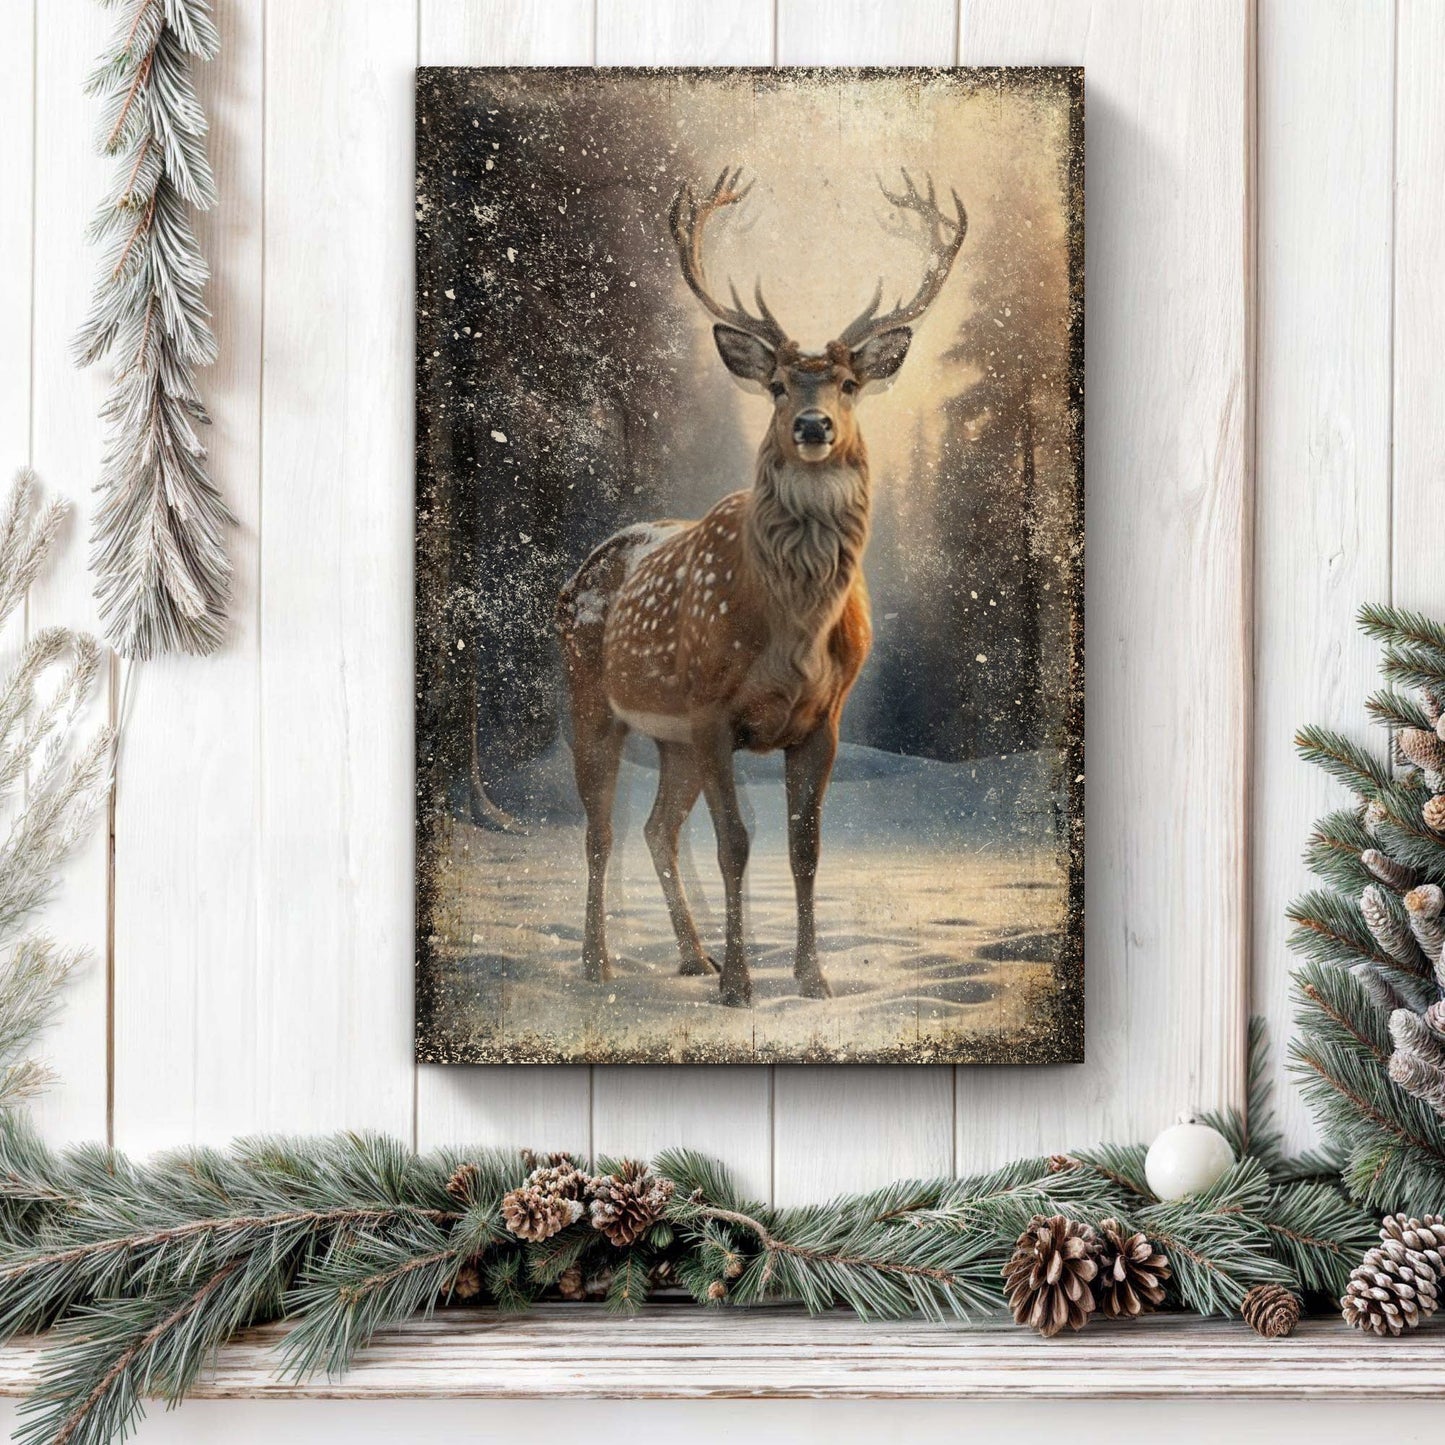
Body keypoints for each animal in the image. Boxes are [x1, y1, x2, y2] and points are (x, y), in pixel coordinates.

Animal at [555, 168, 967, 1008]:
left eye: (848, 383)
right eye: (776, 384)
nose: (812, 426)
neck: (793, 629)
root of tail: (579, 572)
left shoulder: (822, 719)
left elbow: (805, 847)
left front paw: (812, 978)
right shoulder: (715, 711)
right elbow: (736, 844)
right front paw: (743, 985)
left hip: (671, 736)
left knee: (655, 827)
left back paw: (692, 955)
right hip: (592, 697)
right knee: (601, 829)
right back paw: (599, 961)